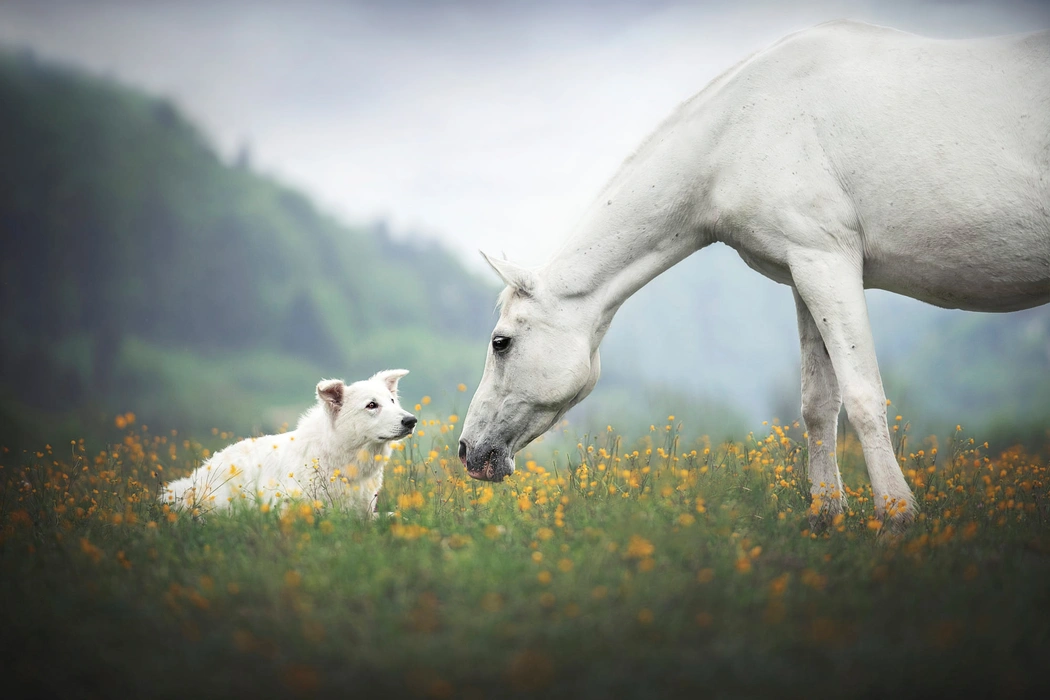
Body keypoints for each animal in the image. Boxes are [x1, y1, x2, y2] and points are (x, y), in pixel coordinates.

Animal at [459, 19, 1050, 528]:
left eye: (501, 342)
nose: (467, 451)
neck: (738, 131)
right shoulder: (805, 273)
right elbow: (818, 405)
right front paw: (826, 517)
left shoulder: (828, 262)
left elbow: (862, 397)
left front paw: (897, 518)